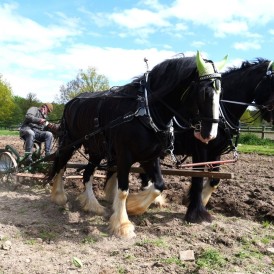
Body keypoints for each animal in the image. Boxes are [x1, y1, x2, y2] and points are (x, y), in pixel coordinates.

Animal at [48, 52, 227, 238]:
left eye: (221, 93)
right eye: (205, 93)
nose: (210, 134)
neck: (146, 111)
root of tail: (72, 102)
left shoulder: (150, 157)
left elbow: (159, 185)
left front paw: (134, 206)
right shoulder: (124, 157)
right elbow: (123, 191)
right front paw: (123, 224)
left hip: (97, 150)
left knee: (87, 174)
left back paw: (94, 206)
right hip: (70, 143)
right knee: (61, 165)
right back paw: (59, 196)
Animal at [123, 57, 272, 223]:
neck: (221, 110)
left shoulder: (216, 151)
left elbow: (214, 180)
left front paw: (196, 201)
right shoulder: (200, 148)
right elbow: (198, 178)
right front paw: (196, 212)